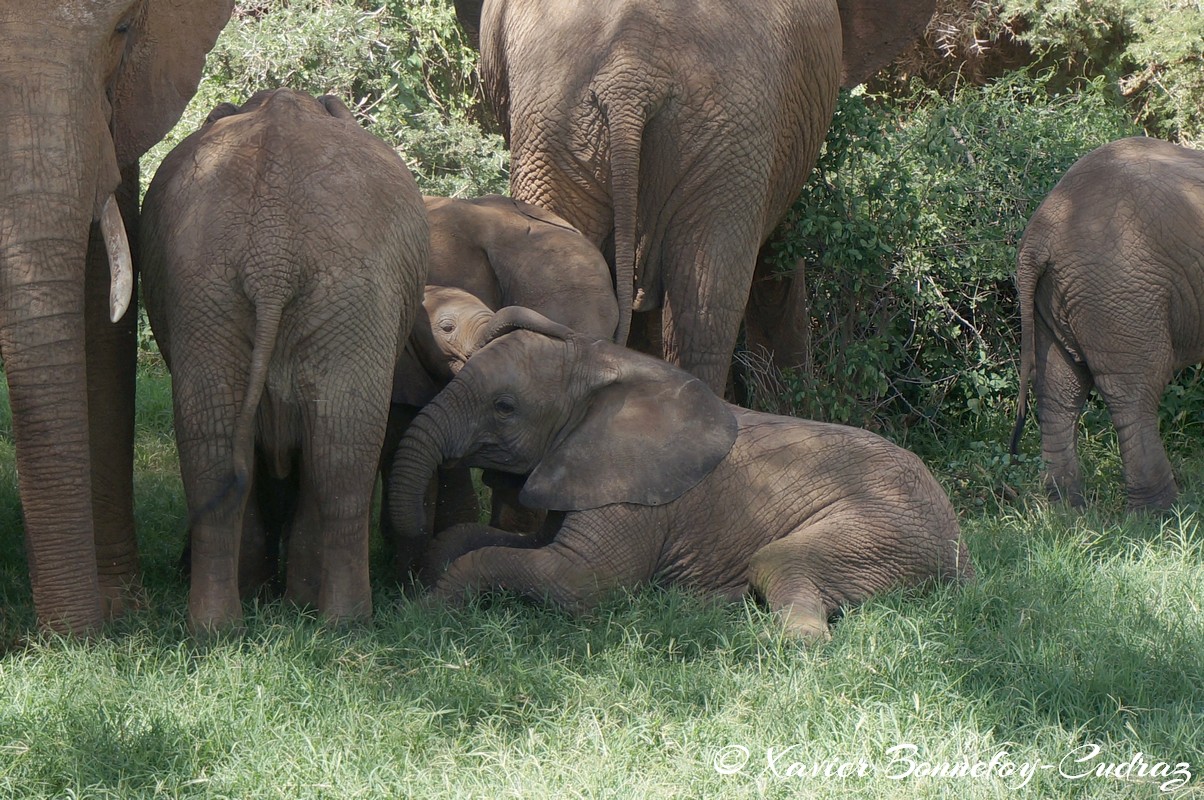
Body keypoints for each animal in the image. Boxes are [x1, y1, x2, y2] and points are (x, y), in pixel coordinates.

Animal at [140, 84, 428, 626]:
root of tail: (270, 257)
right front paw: (277, 599)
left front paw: (280, 600)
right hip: (336, 284)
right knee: (335, 452)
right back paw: (343, 624)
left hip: (211, 280)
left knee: (224, 447)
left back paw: (222, 628)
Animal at [390, 308, 972, 640]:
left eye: (505, 408)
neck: (607, 368)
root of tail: (964, 552)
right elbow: (481, 540)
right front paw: (429, 578)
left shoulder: (636, 502)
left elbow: (575, 580)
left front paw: (427, 609)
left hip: (888, 525)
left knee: (779, 564)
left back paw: (776, 637)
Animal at [1011, 136, 1204, 513]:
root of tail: (1040, 233)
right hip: (1120, 288)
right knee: (1135, 390)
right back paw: (1160, 512)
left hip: (1056, 296)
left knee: (1059, 387)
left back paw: (1065, 507)